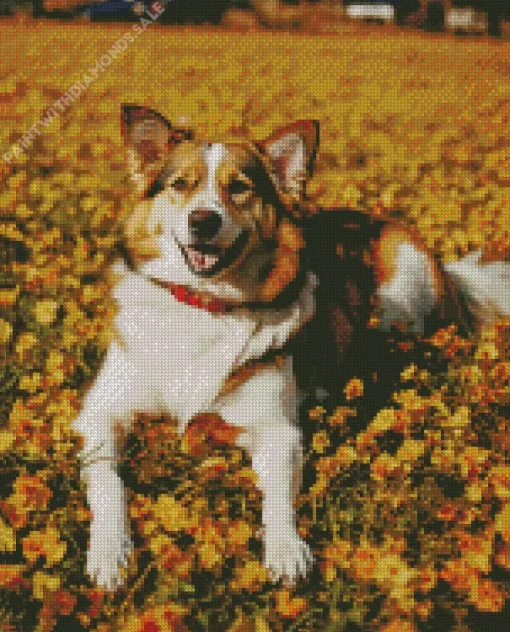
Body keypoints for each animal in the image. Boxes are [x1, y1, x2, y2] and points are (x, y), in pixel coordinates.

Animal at [71, 105, 510, 592]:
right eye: (180, 184)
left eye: (239, 187)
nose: (203, 220)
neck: (205, 304)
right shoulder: (101, 412)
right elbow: (108, 483)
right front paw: (110, 552)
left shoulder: (276, 428)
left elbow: (278, 495)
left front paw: (285, 550)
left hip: (406, 288)